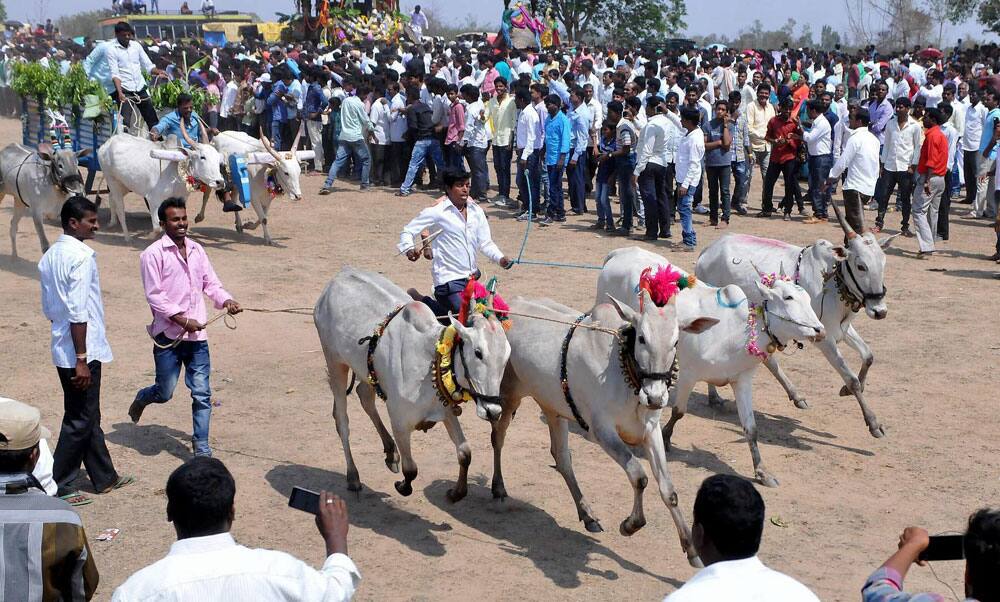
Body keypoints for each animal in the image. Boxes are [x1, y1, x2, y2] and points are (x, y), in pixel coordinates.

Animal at [96, 134, 224, 241]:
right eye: (203, 157)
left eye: (218, 159)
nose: (220, 182)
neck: (176, 172)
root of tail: (107, 142)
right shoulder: (153, 199)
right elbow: (157, 226)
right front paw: (149, 236)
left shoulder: (180, 199)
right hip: (112, 180)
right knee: (120, 208)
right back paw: (127, 237)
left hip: (124, 185)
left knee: (111, 198)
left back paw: (112, 222)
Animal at [314, 270, 508, 500]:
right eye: (478, 353)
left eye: (507, 356)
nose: (493, 411)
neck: (431, 362)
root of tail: (336, 279)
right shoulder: (399, 420)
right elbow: (411, 469)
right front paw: (402, 486)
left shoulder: (445, 411)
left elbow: (464, 453)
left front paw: (456, 493)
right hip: (334, 361)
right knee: (342, 420)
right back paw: (353, 476)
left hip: (365, 369)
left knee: (364, 395)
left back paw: (390, 452)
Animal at [490, 292, 712, 564]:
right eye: (642, 338)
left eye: (676, 341)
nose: (655, 397)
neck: (626, 378)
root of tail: (507, 307)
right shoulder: (602, 431)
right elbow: (639, 476)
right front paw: (630, 525)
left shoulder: (651, 431)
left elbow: (668, 490)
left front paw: (691, 550)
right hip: (508, 396)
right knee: (498, 437)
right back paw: (498, 488)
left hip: (553, 408)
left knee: (562, 458)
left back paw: (587, 515)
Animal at [596, 246, 824, 486]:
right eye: (788, 297)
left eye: (807, 297)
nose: (820, 330)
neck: (735, 332)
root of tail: (623, 251)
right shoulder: (688, 375)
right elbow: (678, 412)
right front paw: (666, 438)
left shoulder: (742, 380)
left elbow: (751, 429)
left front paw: (762, 471)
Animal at [696, 202, 900, 436]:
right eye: (861, 266)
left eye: (883, 263)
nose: (880, 311)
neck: (832, 281)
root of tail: (707, 251)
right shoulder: (824, 338)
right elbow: (851, 378)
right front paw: (873, 422)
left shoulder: (842, 328)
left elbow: (868, 356)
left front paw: (847, 390)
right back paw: (714, 397)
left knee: (767, 358)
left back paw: (795, 396)